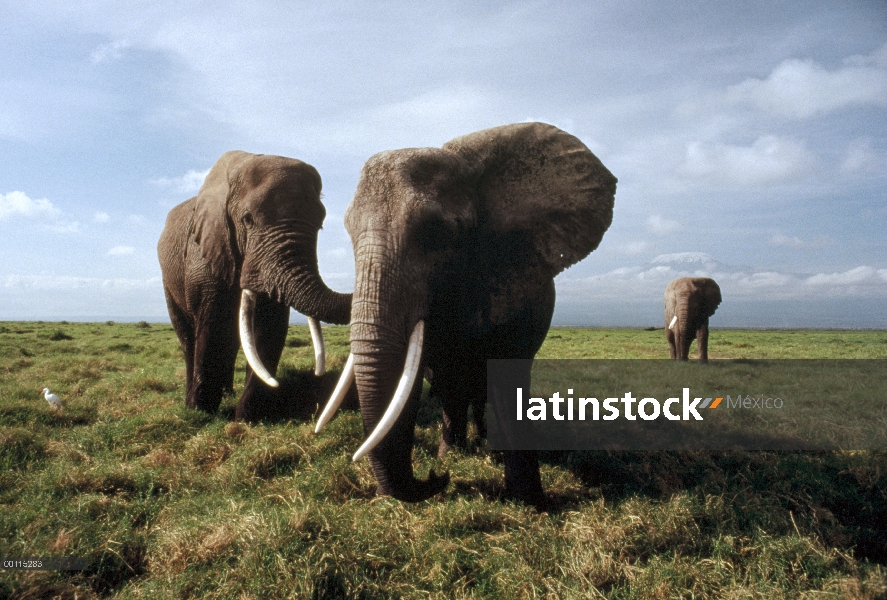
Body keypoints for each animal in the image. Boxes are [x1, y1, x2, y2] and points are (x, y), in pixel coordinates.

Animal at [158, 150, 352, 422]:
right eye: (247, 219)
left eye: (321, 223)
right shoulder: (205, 250)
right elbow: (212, 324)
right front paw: (202, 412)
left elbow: (269, 326)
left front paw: (247, 419)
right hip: (168, 280)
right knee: (187, 337)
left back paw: (227, 393)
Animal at [318, 122, 616, 506]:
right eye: (348, 232)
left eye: (436, 233)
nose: (435, 478)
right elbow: (414, 381)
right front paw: (443, 467)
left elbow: (507, 376)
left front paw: (531, 502)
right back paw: (455, 451)